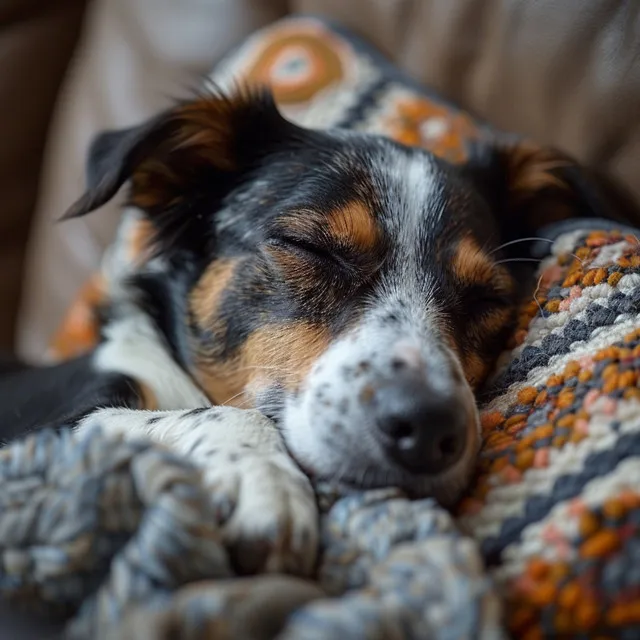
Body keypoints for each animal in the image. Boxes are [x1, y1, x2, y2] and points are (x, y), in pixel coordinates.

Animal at [2, 86, 636, 576]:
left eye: (488, 297)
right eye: (309, 247)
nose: (430, 429)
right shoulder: (42, 425)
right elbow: (219, 414)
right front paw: (264, 483)